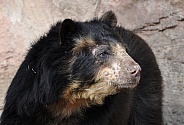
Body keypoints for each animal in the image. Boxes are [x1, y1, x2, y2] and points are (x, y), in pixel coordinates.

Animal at [1, 11, 162, 125]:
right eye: (103, 53)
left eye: (125, 50)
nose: (135, 70)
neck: (68, 101)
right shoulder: (23, 107)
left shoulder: (100, 115)